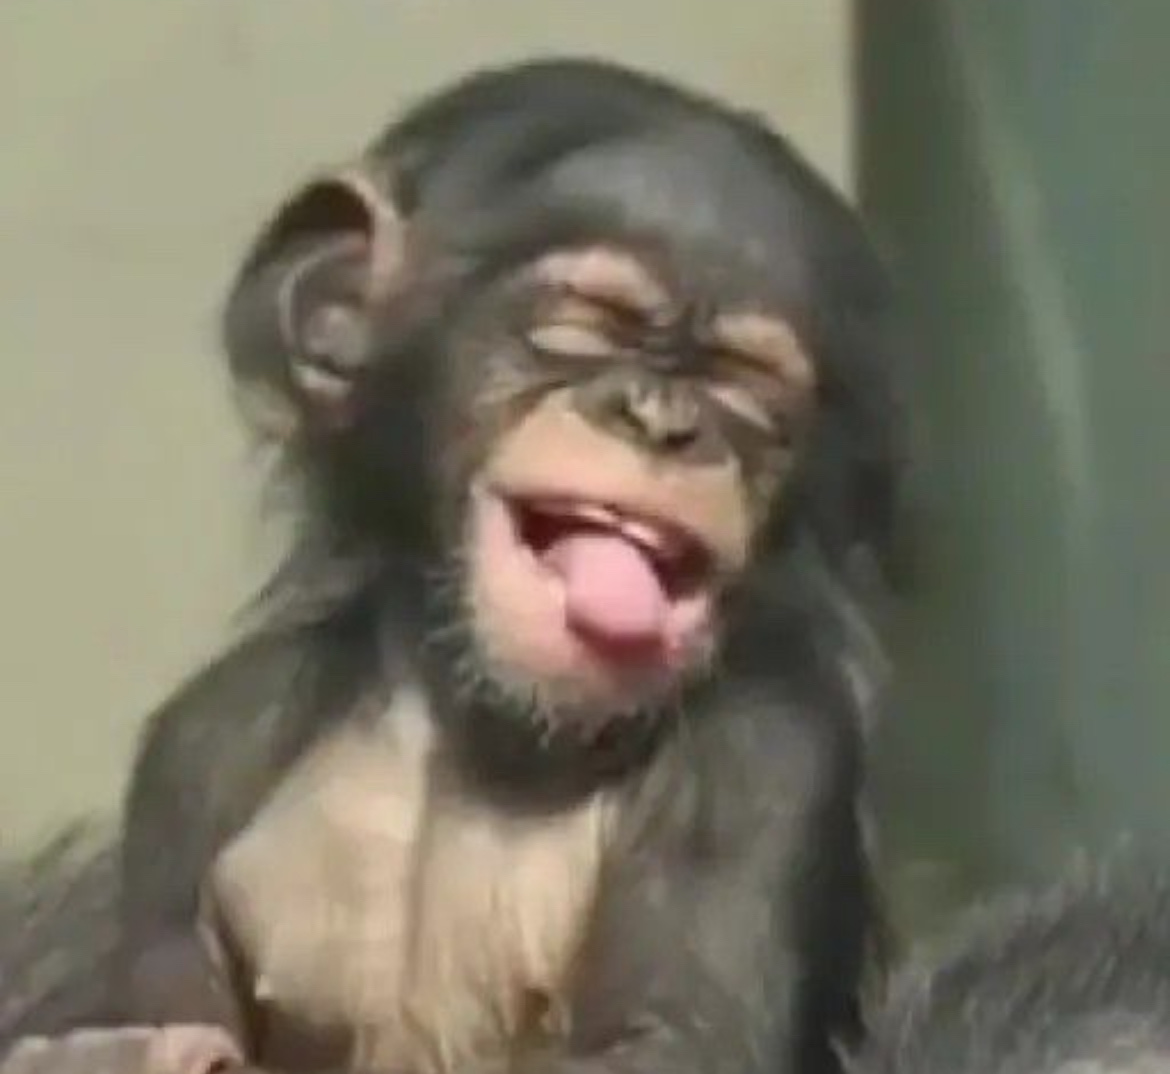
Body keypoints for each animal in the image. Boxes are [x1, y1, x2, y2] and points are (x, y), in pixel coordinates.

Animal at [0, 57, 905, 1074]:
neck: (471, 712)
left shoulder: (766, 753)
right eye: (582, 330)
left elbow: (673, 1035)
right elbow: (174, 999)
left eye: (742, 387)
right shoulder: (200, 752)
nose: (661, 419)